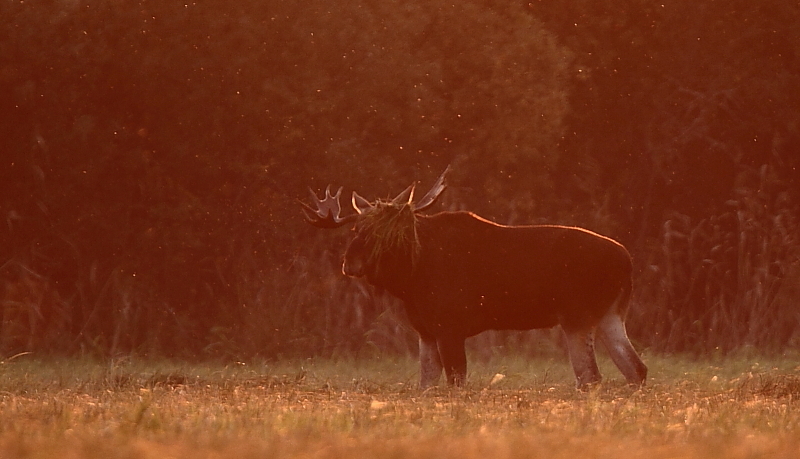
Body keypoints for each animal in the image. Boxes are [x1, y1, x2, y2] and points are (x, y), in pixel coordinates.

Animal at [301, 167, 647, 389]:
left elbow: (456, 383)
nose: (349, 262)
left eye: (381, 233)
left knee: (591, 377)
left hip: (577, 315)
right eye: (356, 229)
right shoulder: (425, 331)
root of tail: (628, 262)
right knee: (636, 369)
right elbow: (425, 385)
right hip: (610, 315)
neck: (411, 281)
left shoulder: (450, 327)